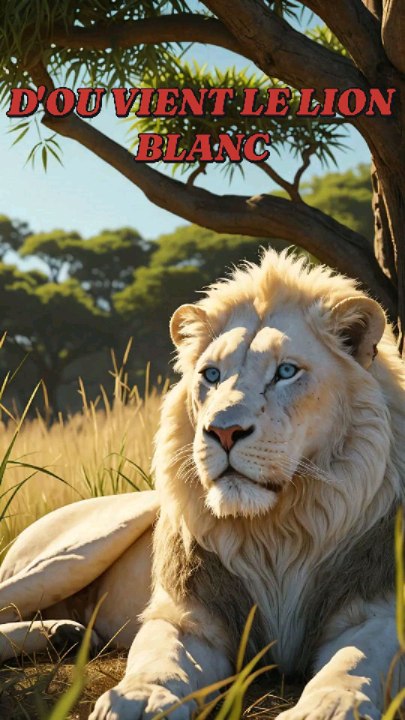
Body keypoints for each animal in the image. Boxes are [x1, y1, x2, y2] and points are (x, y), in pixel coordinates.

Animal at [0, 249, 404, 720]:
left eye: (286, 371)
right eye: (211, 375)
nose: (223, 432)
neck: (278, 533)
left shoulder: (378, 614)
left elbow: (352, 664)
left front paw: (327, 708)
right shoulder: (186, 615)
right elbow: (160, 661)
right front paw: (138, 700)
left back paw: (64, 633)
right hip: (72, 554)